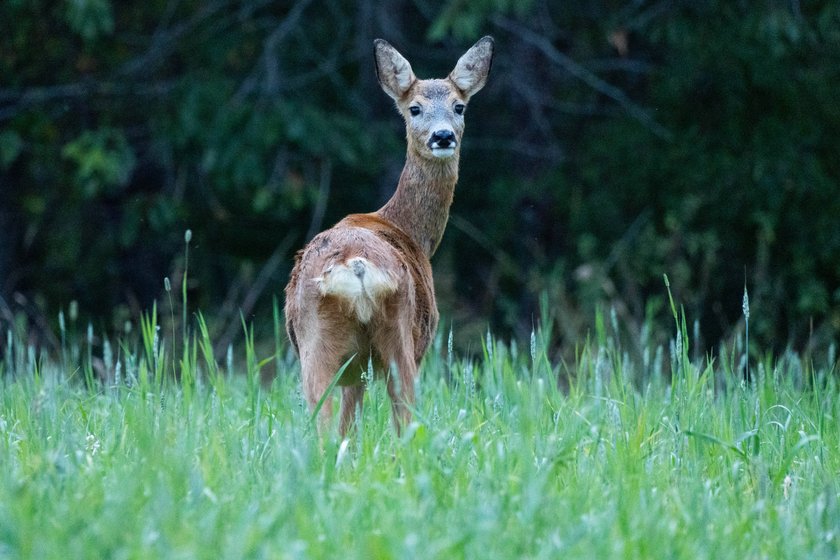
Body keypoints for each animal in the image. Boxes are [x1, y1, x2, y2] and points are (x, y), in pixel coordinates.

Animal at [284, 36, 494, 436]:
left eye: (459, 106)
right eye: (415, 108)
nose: (442, 136)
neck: (406, 228)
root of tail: (356, 266)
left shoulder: (354, 371)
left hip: (319, 347)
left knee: (323, 425)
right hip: (399, 338)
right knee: (404, 423)